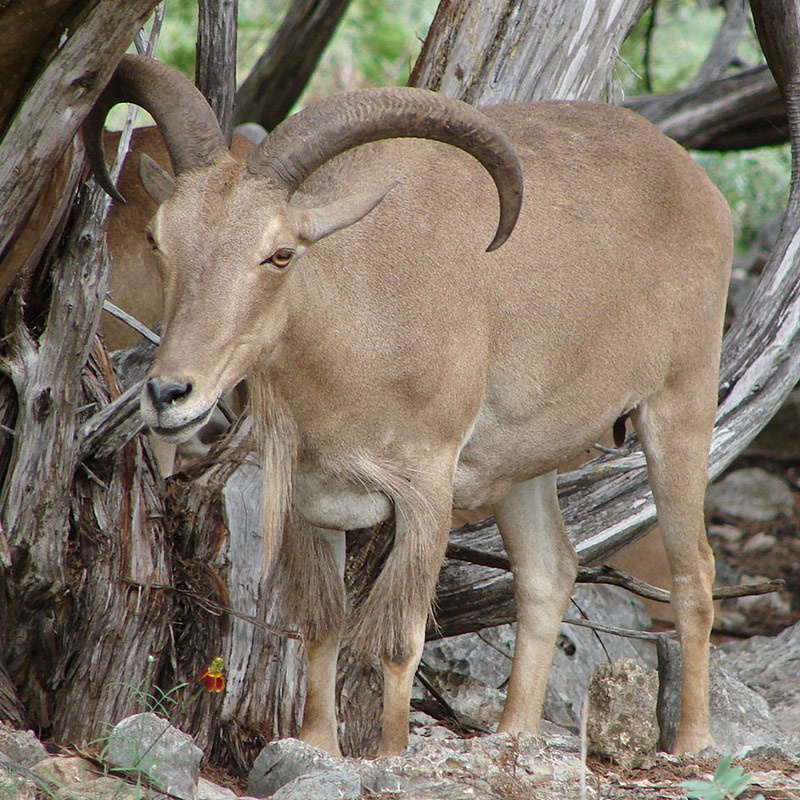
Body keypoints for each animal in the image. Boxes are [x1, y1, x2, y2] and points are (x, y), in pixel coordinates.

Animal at [84, 54, 732, 757]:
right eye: (158, 237)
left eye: (280, 253)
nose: (169, 394)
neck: (361, 319)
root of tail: (698, 184)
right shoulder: (316, 497)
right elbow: (323, 625)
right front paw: (317, 744)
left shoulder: (427, 485)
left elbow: (398, 640)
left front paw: (388, 755)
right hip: (521, 463)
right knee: (549, 572)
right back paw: (513, 736)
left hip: (681, 403)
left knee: (694, 574)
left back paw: (694, 742)